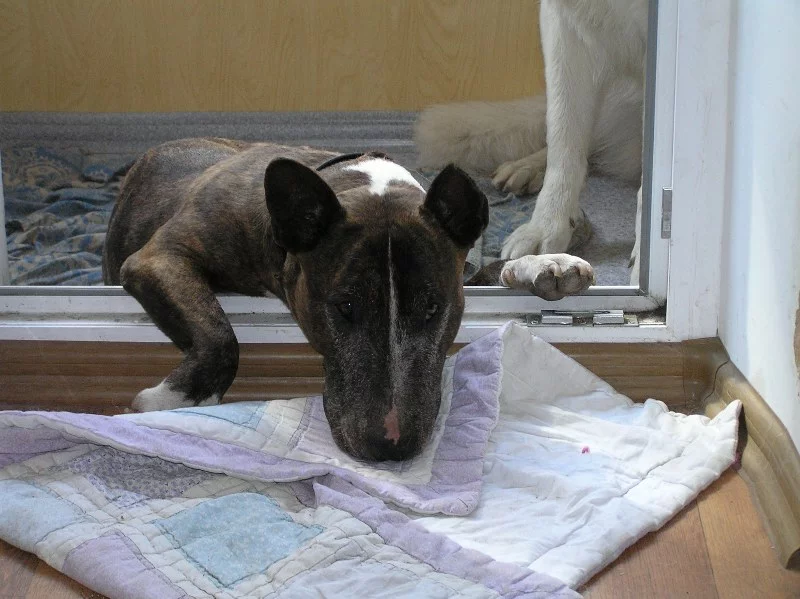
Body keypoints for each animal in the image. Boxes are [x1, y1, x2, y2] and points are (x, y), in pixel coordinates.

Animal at [102, 138, 594, 461]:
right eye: (345, 307)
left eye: (433, 308)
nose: (391, 447)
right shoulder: (158, 257)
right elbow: (219, 333)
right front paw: (168, 399)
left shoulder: (460, 268)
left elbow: (492, 268)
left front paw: (549, 264)